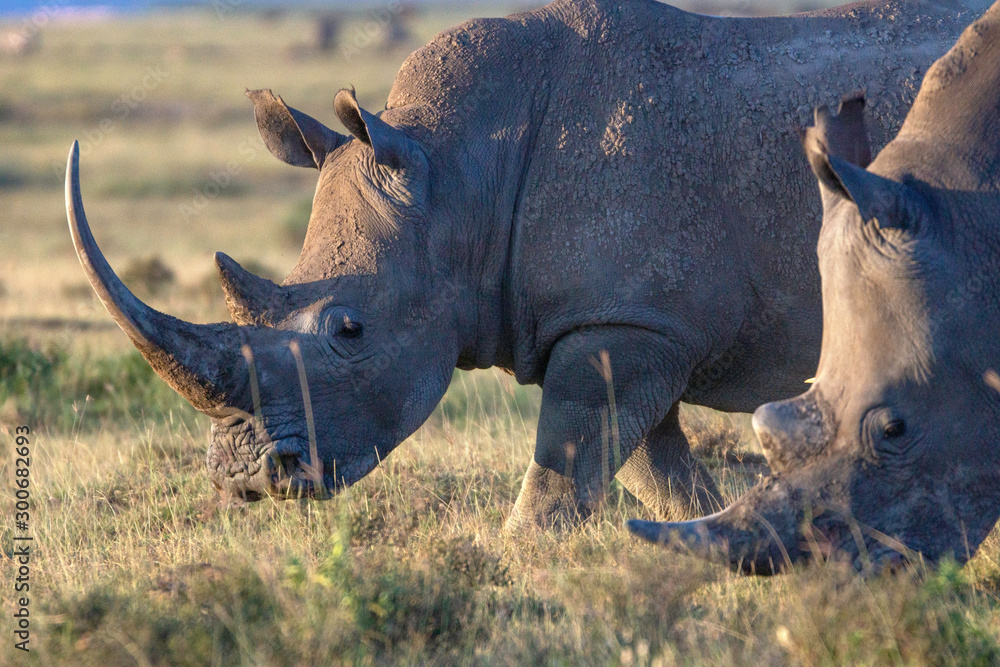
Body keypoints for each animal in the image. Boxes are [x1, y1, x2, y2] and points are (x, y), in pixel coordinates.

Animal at [66, 0, 991, 528]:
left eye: (349, 329)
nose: (249, 479)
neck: (456, 174)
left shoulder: (627, 324)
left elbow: (564, 470)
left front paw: (526, 557)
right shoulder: (631, 318)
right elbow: (653, 472)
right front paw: (706, 545)